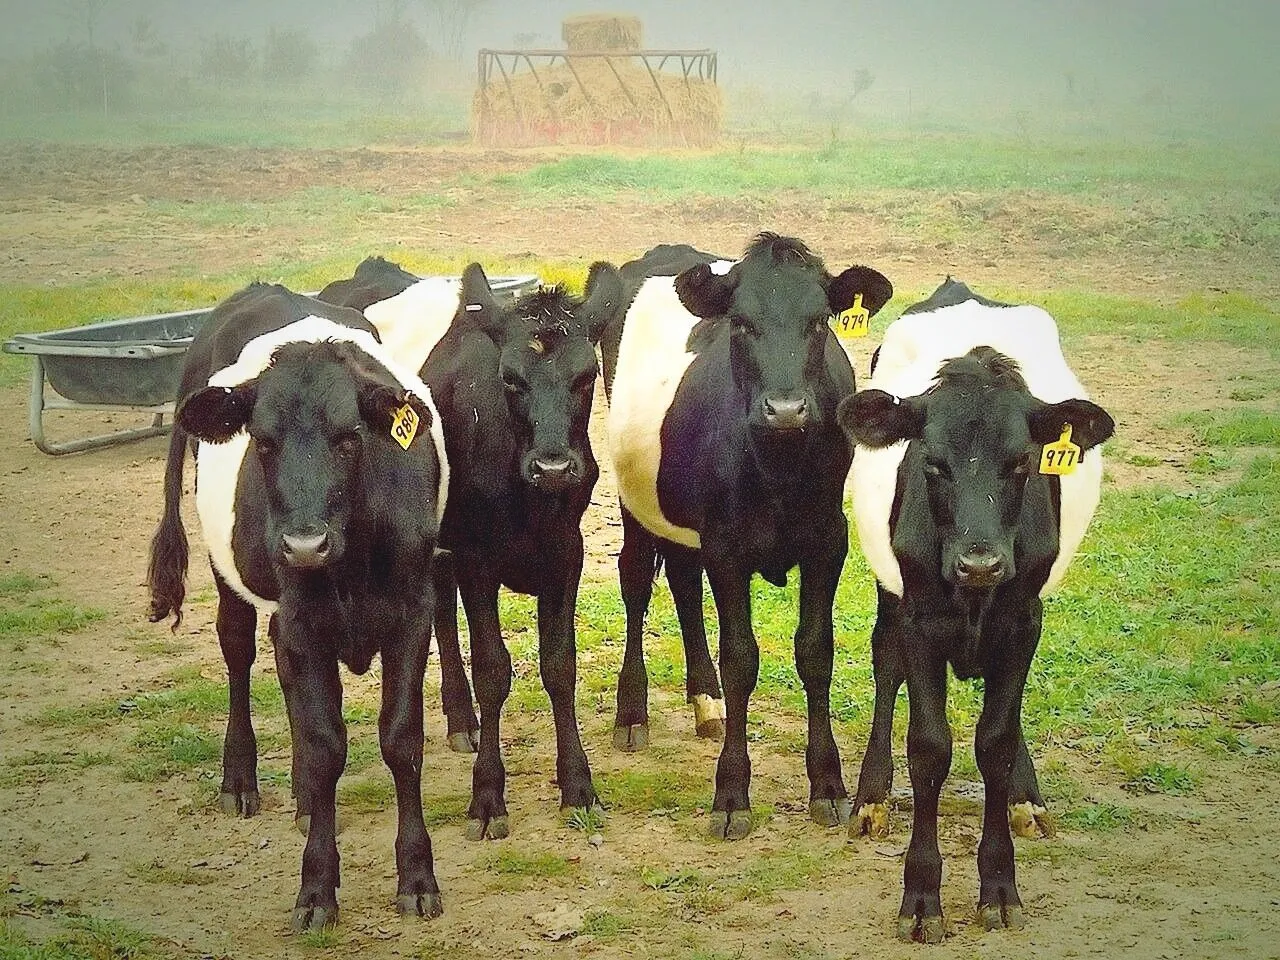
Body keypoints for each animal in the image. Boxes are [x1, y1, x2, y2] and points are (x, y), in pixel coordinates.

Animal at [146, 285, 450, 931]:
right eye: (263, 442)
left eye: (350, 436)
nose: (305, 545)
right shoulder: (305, 622)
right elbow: (324, 745)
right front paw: (316, 888)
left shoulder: (413, 614)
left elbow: (400, 740)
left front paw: (417, 876)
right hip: (231, 573)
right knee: (238, 651)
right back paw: (241, 778)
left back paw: (305, 796)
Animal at [321, 256, 624, 840]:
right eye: (511, 379)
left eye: (586, 376)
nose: (554, 466)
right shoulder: (476, 558)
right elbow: (492, 669)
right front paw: (487, 795)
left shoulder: (566, 553)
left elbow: (560, 666)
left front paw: (578, 783)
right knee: (442, 615)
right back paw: (462, 717)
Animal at [601, 233, 893, 839]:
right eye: (740, 323)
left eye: (819, 321)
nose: (785, 409)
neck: (777, 466)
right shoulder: (726, 546)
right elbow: (740, 658)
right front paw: (732, 793)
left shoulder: (827, 540)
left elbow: (815, 651)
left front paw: (828, 784)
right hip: (634, 497)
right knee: (637, 581)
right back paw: (632, 711)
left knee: (683, 583)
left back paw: (705, 701)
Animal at [839, 278, 1115, 942]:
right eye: (931, 463)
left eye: (1022, 462)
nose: (980, 564)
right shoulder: (919, 618)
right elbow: (929, 746)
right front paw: (921, 897)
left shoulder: (1023, 619)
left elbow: (995, 740)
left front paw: (999, 886)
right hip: (890, 594)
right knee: (886, 663)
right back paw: (870, 797)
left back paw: (1025, 798)